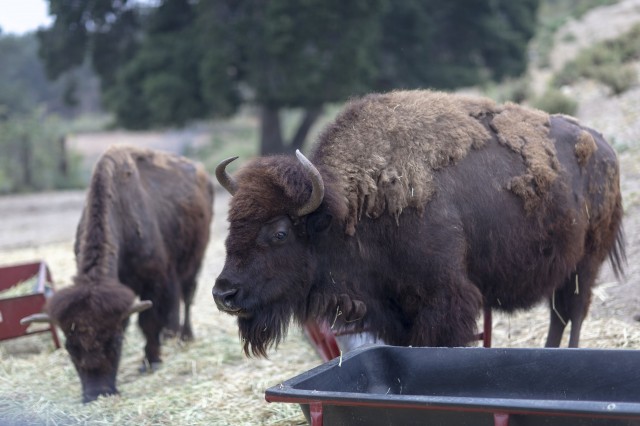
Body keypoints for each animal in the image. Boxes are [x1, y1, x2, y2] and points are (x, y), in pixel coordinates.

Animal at [20, 145, 214, 402]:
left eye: (116, 342)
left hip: (194, 261)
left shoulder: (154, 282)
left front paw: (151, 361)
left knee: (187, 297)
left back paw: (185, 336)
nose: (97, 393)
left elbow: (149, 322)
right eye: (71, 347)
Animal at [212, 89, 624, 356]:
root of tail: (604, 147)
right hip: (562, 268)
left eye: (279, 232)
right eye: (232, 225)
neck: (349, 211)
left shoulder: (446, 299)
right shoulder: (395, 311)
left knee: (573, 312)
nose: (224, 293)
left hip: (587, 264)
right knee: (559, 315)